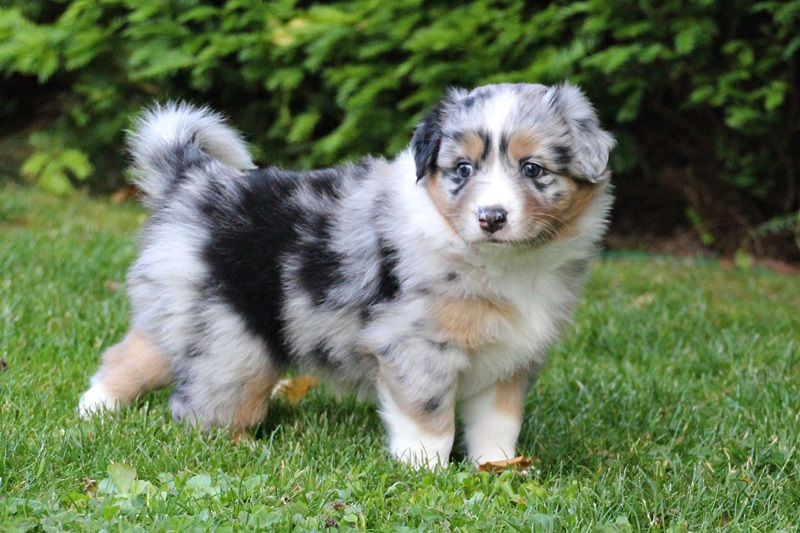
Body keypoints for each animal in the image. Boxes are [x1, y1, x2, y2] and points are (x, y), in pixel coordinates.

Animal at [78, 83, 615, 468]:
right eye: (462, 169)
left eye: (533, 169)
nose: (491, 217)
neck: (504, 262)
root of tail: (194, 180)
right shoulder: (416, 344)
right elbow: (429, 418)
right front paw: (425, 471)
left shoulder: (510, 357)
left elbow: (498, 423)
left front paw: (498, 468)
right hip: (232, 340)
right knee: (208, 408)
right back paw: (241, 448)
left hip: (181, 306)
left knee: (134, 353)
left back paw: (92, 412)